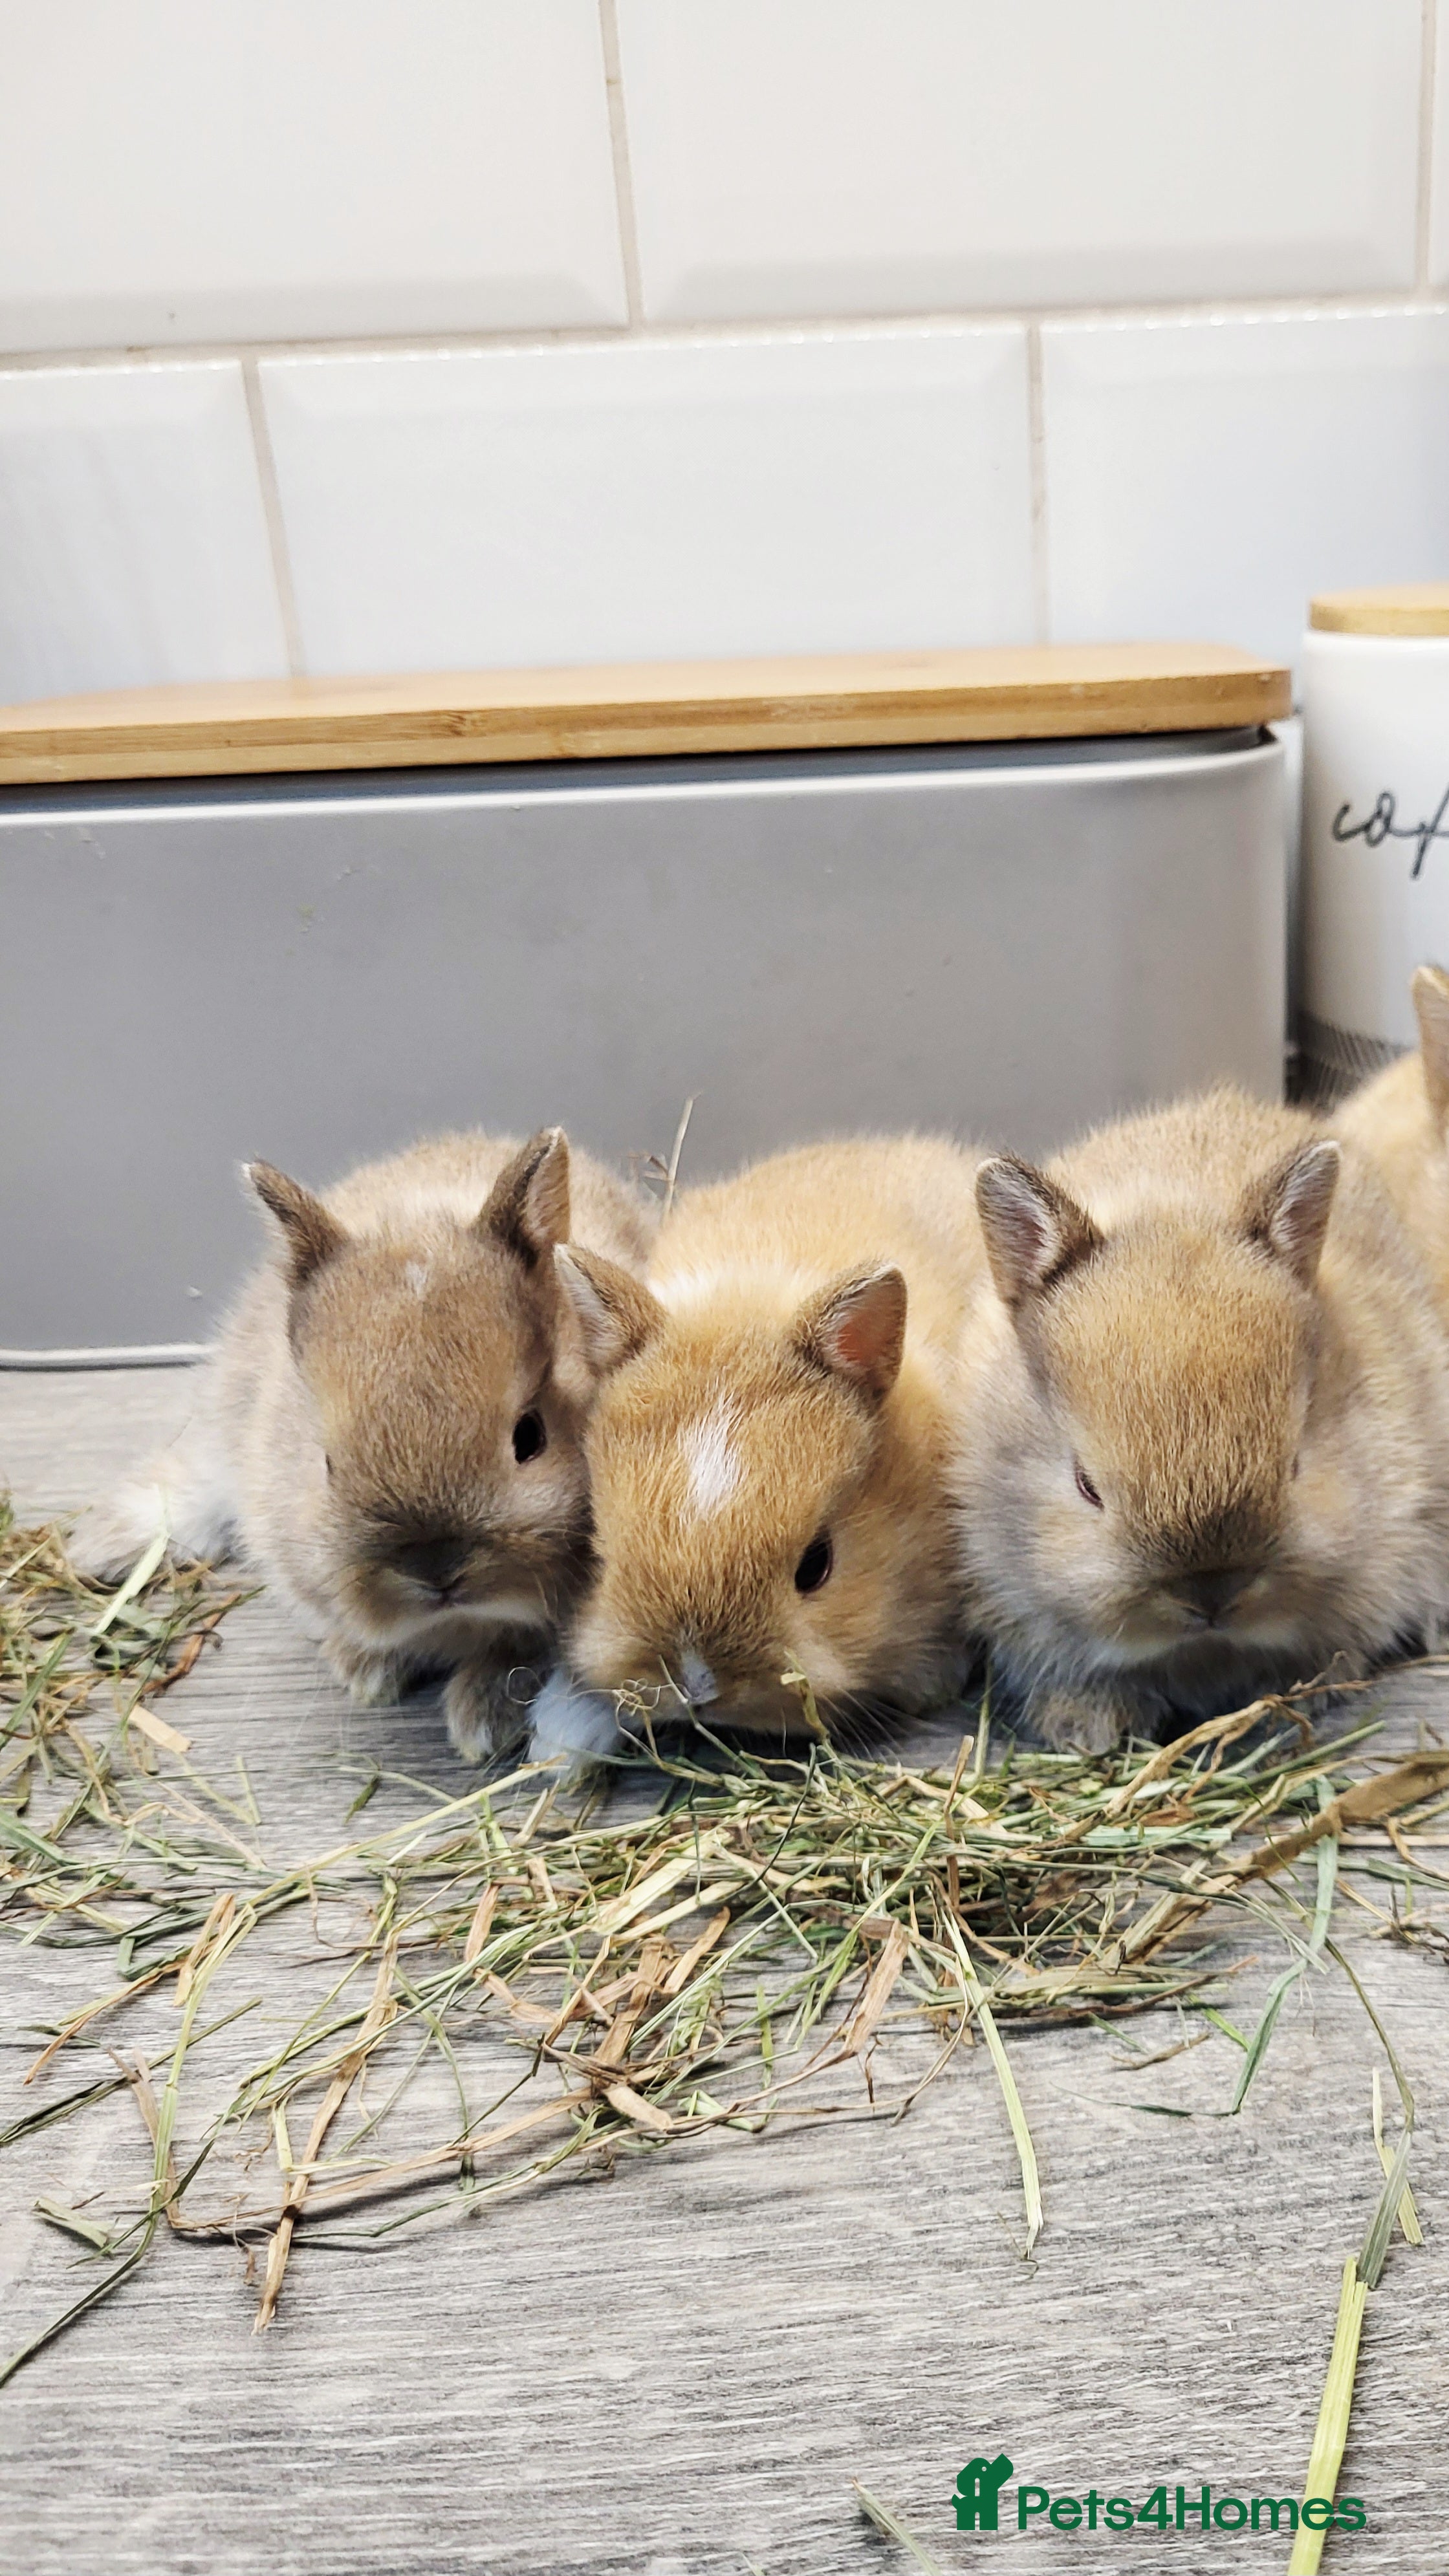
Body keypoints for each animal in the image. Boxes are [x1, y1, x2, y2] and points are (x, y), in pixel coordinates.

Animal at [74, 1130, 656, 1761]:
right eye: (327, 1461)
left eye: (531, 1436)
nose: (437, 1573)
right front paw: (365, 1671)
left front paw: (481, 1721)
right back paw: (98, 1547)